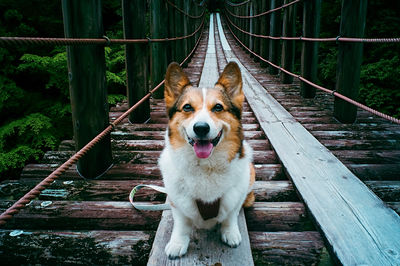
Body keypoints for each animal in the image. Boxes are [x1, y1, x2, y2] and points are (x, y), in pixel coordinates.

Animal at [158, 61, 255, 258]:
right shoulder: (177, 203)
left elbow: (230, 216)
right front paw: (177, 243)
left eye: (218, 107)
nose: (201, 128)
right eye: (187, 107)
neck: (205, 166)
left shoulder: (234, 198)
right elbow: (181, 225)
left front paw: (230, 233)